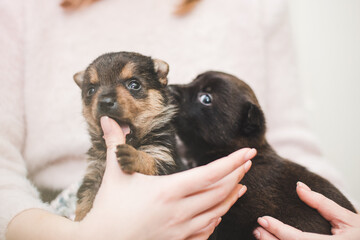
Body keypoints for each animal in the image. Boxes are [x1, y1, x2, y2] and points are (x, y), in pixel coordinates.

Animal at [73, 51, 181, 220]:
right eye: (91, 90)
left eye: (134, 85)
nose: (105, 102)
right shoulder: (94, 173)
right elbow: (84, 202)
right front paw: (80, 220)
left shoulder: (164, 162)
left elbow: (150, 162)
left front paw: (134, 157)